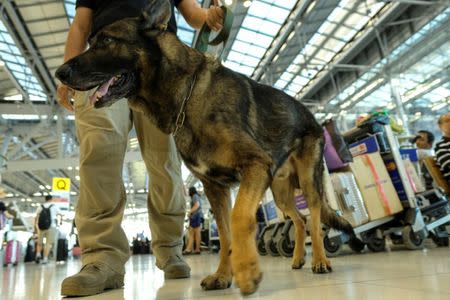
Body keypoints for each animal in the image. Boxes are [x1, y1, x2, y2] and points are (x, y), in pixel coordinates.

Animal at [55, 0, 352, 296]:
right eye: (91, 41)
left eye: (106, 41)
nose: (59, 74)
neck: (187, 93)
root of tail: (311, 114)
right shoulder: (215, 187)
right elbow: (225, 233)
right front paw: (223, 275)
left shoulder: (253, 166)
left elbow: (239, 216)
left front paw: (246, 271)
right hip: (279, 193)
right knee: (300, 220)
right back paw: (299, 258)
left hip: (308, 182)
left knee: (315, 218)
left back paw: (320, 260)